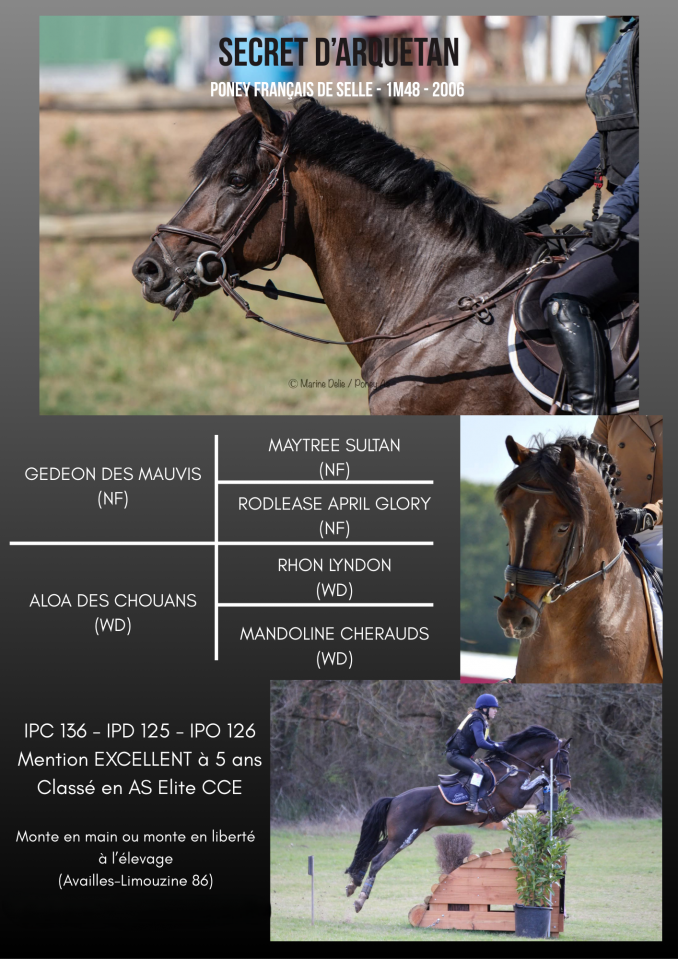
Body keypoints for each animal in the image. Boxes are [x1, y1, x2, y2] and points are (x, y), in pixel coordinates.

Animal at [345, 725, 571, 913]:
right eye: (564, 760)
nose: (566, 787)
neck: (512, 767)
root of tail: (394, 800)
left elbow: (541, 783)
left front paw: (545, 804)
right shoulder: (516, 798)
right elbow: (542, 779)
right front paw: (548, 791)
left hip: (401, 836)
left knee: (370, 852)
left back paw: (353, 882)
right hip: (403, 837)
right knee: (377, 860)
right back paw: (360, 899)